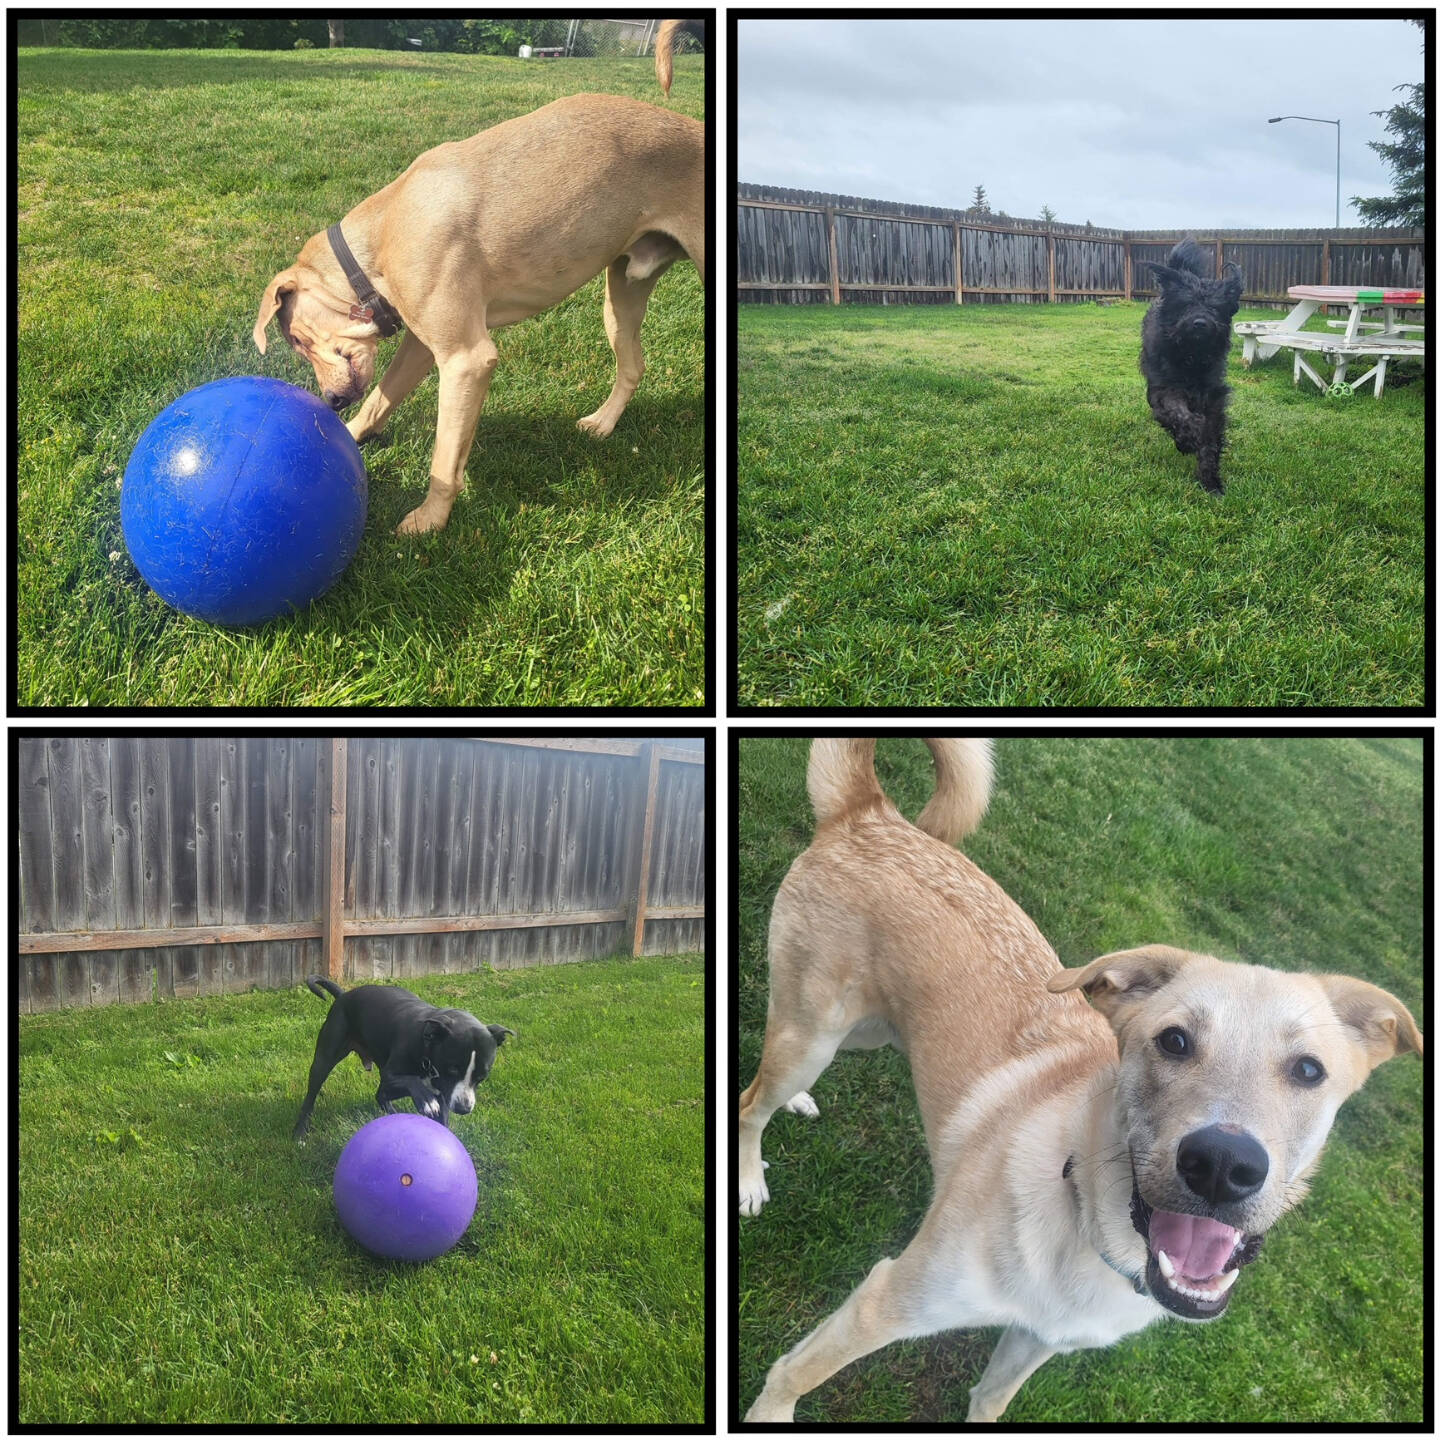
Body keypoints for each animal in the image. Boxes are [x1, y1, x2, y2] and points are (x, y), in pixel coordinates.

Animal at [253, 92, 702, 538]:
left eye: (299, 340)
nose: (331, 401)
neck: (382, 236)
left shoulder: (465, 359)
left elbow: (443, 460)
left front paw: (430, 520)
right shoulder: (421, 345)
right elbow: (380, 401)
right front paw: (348, 436)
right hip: (621, 296)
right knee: (633, 366)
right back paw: (603, 423)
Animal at [295, 973, 515, 1140]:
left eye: (482, 1077)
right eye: (452, 1069)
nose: (463, 1108)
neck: (428, 1044)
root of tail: (344, 995)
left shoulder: (444, 1093)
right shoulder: (391, 1075)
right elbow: (412, 1081)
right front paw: (425, 1100)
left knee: (381, 1095)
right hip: (324, 1060)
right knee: (310, 1098)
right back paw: (300, 1133)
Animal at [748, 748, 1422, 1422]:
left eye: (1308, 1070)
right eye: (1174, 1041)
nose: (1223, 1164)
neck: (1092, 1230)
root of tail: (870, 813)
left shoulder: (1039, 1337)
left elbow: (990, 1400)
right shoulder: (888, 1299)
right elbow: (790, 1377)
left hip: (864, 1032)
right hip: (813, 1035)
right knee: (749, 1102)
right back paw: (752, 1179)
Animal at [1140, 240, 1244, 495]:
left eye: (1215, 308)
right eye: (1186, 304)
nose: (1200, 323)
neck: (1192, 358)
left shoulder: (1214, 397)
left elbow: (1210, 438)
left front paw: (1211, 480)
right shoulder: (1164, 389)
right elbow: (1178, 413)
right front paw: (1187, 438)